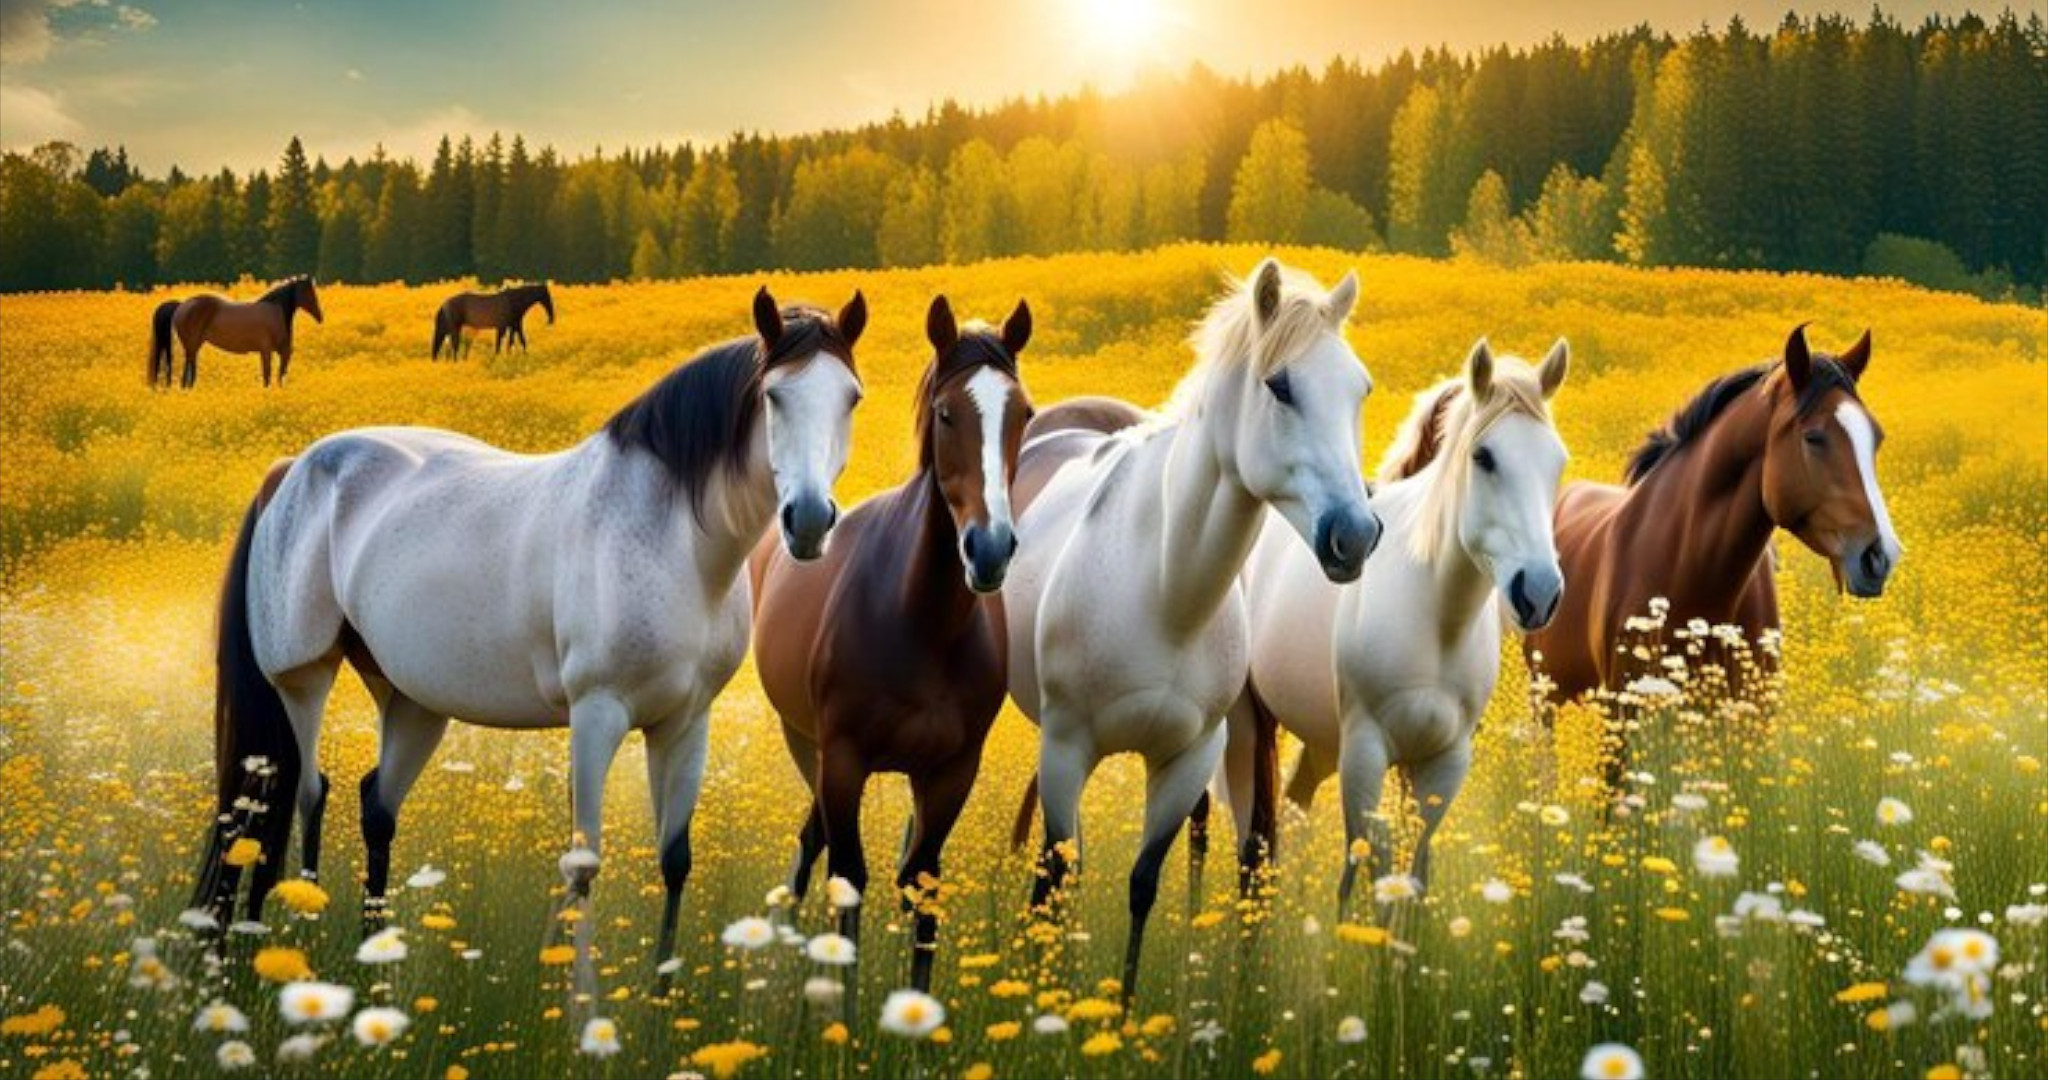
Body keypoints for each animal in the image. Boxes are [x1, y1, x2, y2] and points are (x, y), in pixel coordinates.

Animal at [149, 277, 323, 389]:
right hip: (192, 346)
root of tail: (181, 305)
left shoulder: (281, 352)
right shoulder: (267, 351)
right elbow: (268, 374)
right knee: (188, 369)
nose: (320, 317)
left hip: (194, 346)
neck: (275, 312)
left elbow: (279, 374)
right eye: (310, 293)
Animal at [184, 286, 866, 1002]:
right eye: (774, 397)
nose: (810, 521)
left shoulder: (685, 721)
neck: (671, 535)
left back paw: (372, 966)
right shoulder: (597, 715)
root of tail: (293, 470)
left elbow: (675, 859)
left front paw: (660, 1005)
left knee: (375, 806)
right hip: (305, 677)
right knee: (307, 793)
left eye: (851, 397)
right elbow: (584, 863)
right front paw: (577, 1008)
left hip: (411, 700)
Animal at [751, 295, 1033, 1006]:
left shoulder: (951, 770)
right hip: (808, 746)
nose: (989, 549)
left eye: (1024, 413)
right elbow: (849, 881)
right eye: (946, 412)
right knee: (811, 856)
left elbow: (921, 885)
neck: (924, 622)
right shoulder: (845, 759)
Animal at [1001, 258, 1382, 1004]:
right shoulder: (1066, 745)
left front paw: (1119, 1011)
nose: (1355, 534)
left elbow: (1143, 883)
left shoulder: (1190, 758)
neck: (1164, 588)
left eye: (1361, 390)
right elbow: (1052, 876)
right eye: (1280, 386)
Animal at [1220, 340, 1571, 917]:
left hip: (1323, 743)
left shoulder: (1442, 760)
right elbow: (1380, 867)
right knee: (1256, 841)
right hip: (1252, 726)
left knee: (1295, 805)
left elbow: (1414, 868)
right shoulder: (1366, 752)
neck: (1434, 618)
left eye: (1557, 462)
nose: (1539, 592)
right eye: (1484, 457)